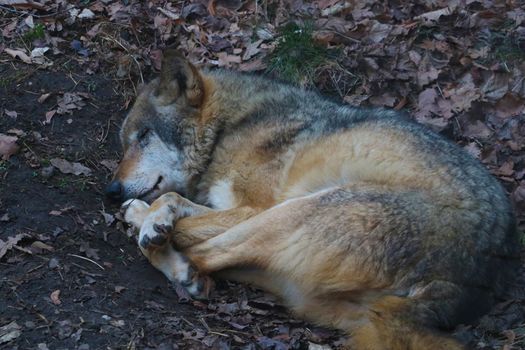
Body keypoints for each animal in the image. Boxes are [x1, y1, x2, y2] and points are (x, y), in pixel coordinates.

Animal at [105, 50, 516, 348]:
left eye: (144, 137)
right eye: (124, 144)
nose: (111, 191)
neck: (228, 128)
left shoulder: (252, 206)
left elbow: (173, 201)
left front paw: (153, 219)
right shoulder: (231, 206)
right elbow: (180, 205)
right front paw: (144, 214)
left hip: (292, 212)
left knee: (201, 253)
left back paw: (168, 249)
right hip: (295, 279)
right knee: (211, 258)